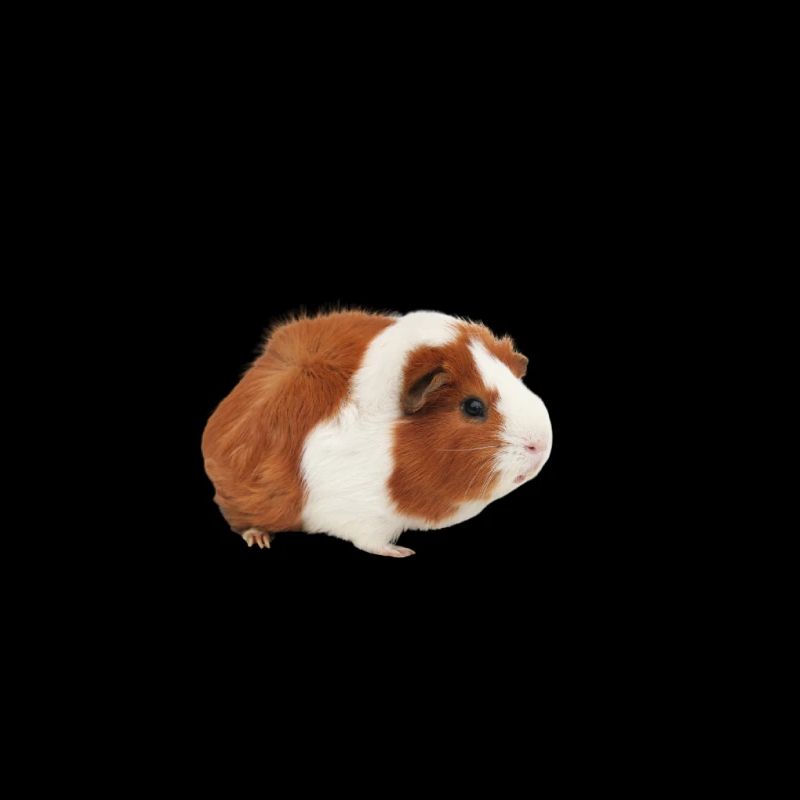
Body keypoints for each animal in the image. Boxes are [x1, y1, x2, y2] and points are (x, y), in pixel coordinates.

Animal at [202, 310, 552, 557]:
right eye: (473, 406)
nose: (540, 445)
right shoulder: (357, 512)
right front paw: (401, 552)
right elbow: (370, 540)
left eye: (517, 383)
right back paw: (259, 538)